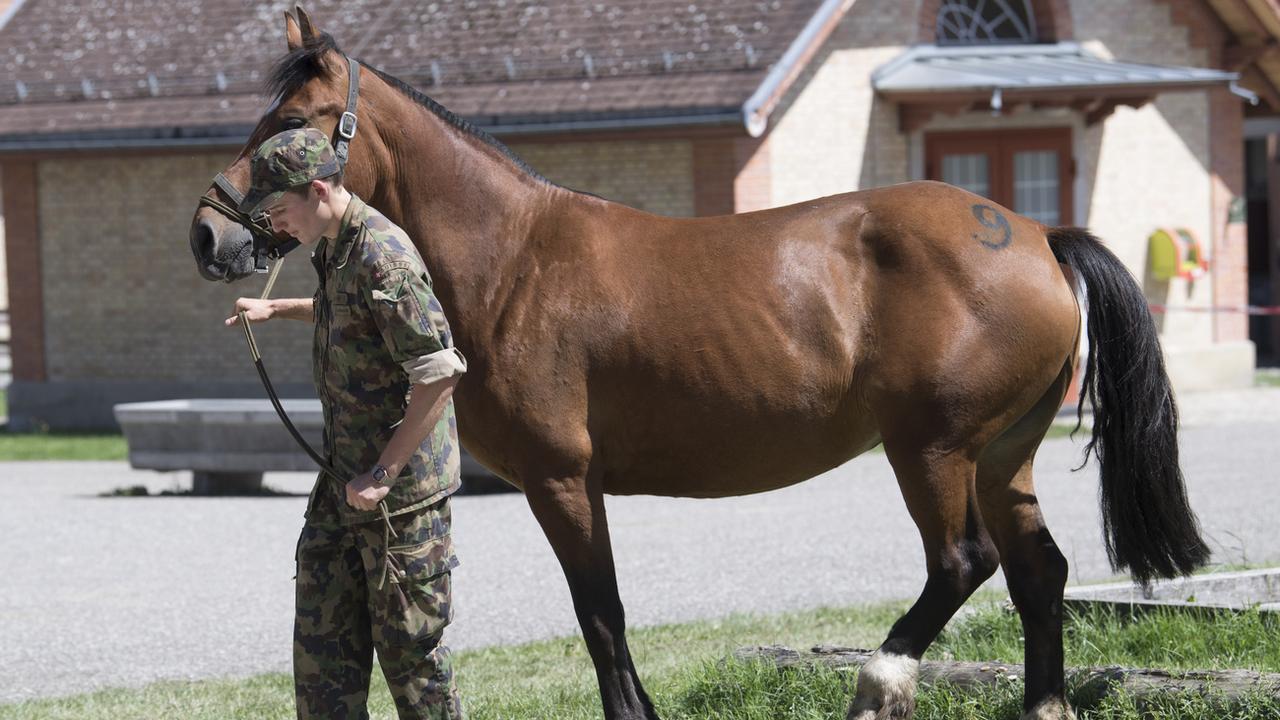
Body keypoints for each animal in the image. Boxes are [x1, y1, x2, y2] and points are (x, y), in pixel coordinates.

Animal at [186, 9, 1208, 717]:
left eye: (294, 121)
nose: (207, 235)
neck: (514, 258)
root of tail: (1035, 236)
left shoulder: (561, 480)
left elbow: (601, 614)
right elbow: (603, 614)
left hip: (933, 451)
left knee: (965, 562)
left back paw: (879, 681)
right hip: (1003, 457)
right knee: (1040, 571)